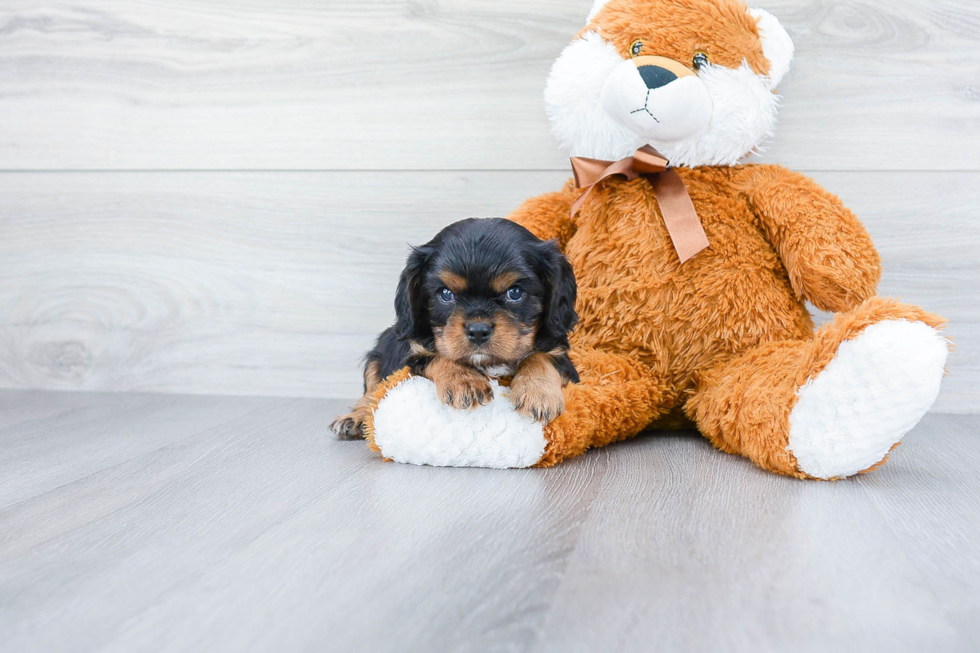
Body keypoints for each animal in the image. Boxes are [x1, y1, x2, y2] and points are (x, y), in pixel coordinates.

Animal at [334, 218, 580, 438]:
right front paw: (465, 381)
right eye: (445, 294)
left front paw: (537, 393)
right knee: (372, 391)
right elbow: (438, 355)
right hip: (379, 352)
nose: (478, 330)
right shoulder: (414, 351)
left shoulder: (560, 352)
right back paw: (355, 418)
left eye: (515, 292)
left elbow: (540, 357)